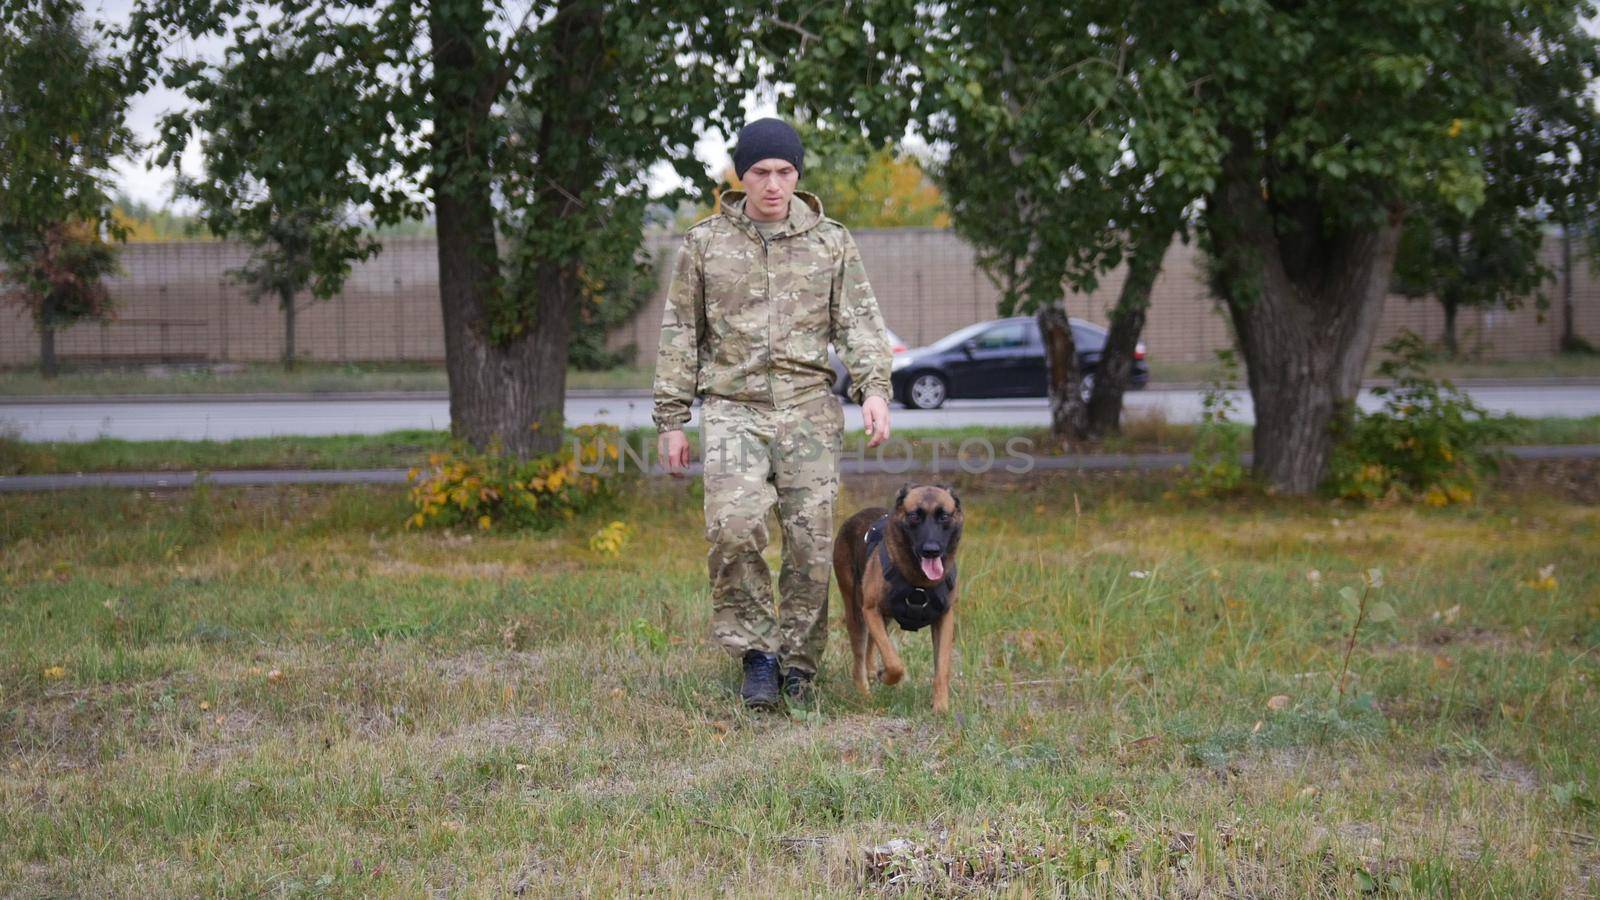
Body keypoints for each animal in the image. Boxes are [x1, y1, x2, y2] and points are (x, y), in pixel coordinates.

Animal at [838, 480, 960, 711]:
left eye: (944, 516)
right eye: (914, 516)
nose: (931, 550)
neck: (919, 582)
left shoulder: (945, 618)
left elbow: (942, 668)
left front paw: (941, 707)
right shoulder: (871, 610)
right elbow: (895, 663)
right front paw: (887, 676)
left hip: (881, 618)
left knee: (871, 646)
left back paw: (871, 671)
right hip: (857, 614)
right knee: (859, 658)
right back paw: (865, 693)